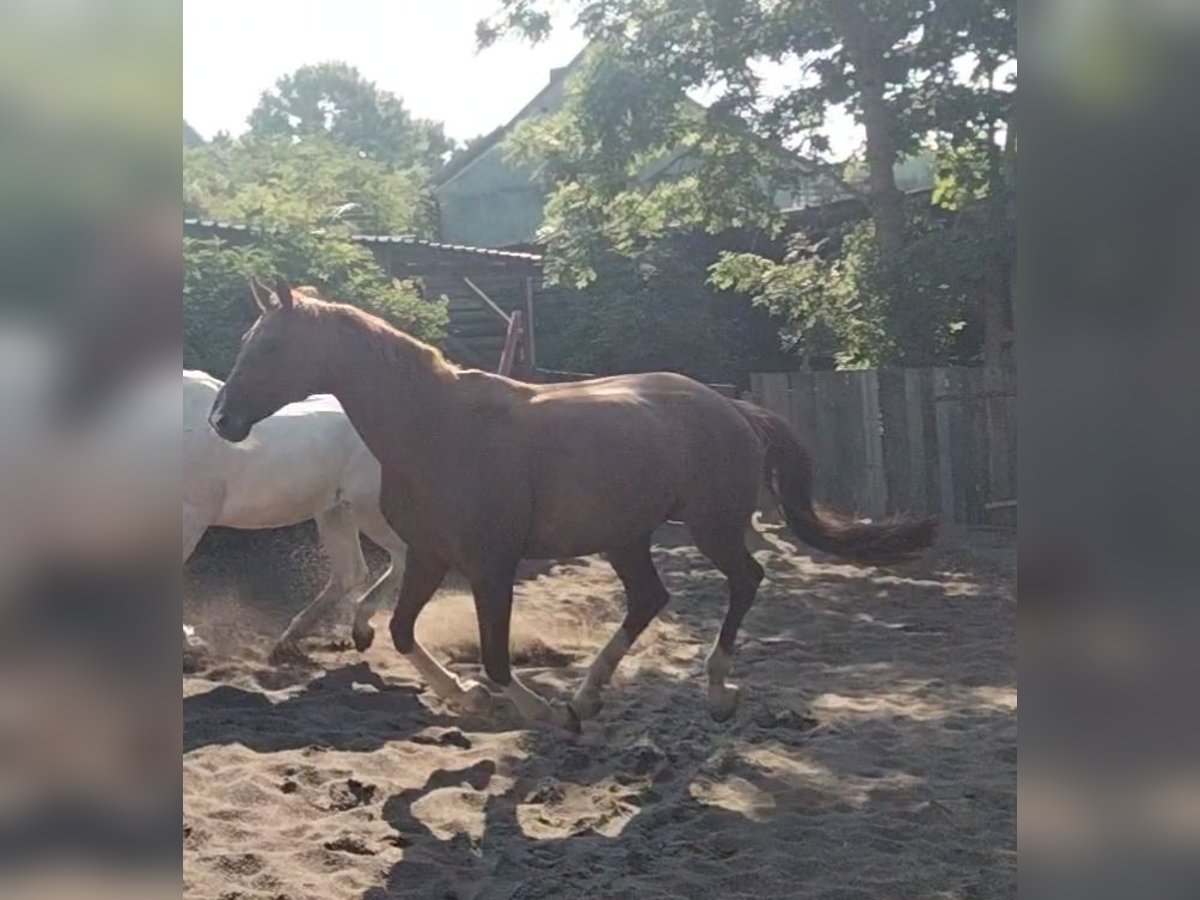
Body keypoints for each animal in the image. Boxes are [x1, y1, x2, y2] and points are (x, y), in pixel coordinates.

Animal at [208, 282, 936, 734]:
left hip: (710, 526)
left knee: (746, 580)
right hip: (626, 536)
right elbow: (402, 631)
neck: (437, 427)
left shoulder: (491, 566)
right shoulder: (430, 557)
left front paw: (539, 712)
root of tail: (732, 408)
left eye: (269, 345)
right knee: (650, 598)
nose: (222, 420)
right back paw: (590, 692)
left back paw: (714, 692)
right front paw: (466, 699)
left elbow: (496, 658)